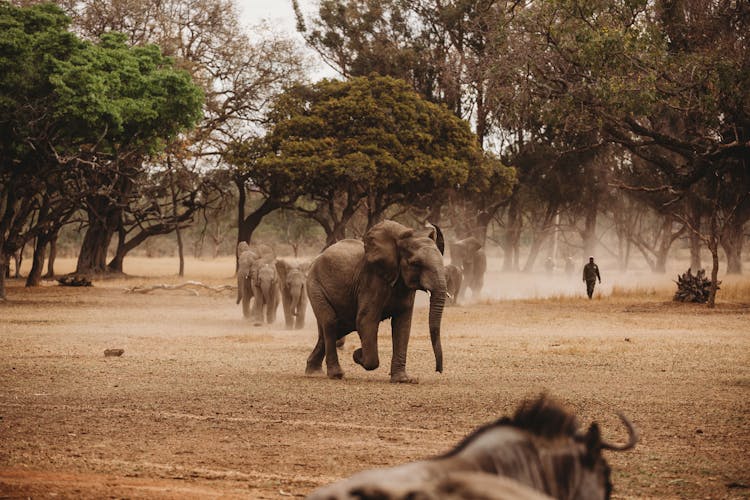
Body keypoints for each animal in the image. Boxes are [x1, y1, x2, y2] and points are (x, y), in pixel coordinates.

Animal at [306, 219, 446, 382]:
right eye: (416, 264)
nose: (438, 370)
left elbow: (403, 324)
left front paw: (403, 380)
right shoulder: (371, 281)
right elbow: (366, 320)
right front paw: (358, 355)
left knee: (337, 328)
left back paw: (313, 372)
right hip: (315, 285)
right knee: (330, 322)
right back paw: (336, 374)